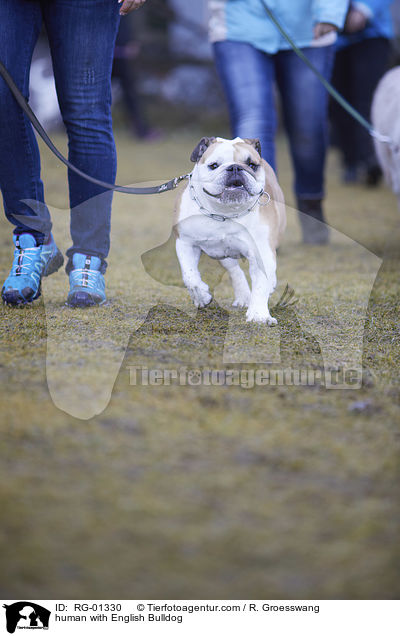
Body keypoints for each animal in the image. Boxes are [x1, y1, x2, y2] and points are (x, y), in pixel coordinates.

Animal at [174, 135, 284, 322]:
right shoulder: (185, 243)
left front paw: (259, 314)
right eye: (213, 165)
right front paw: (201, 296)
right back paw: (243, 296)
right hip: (222, 254)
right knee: (234, 269)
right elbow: (190, 276)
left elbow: (261, 284)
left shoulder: (262, 252)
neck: (224, 212)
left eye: (252, 164)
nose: (235, 168)